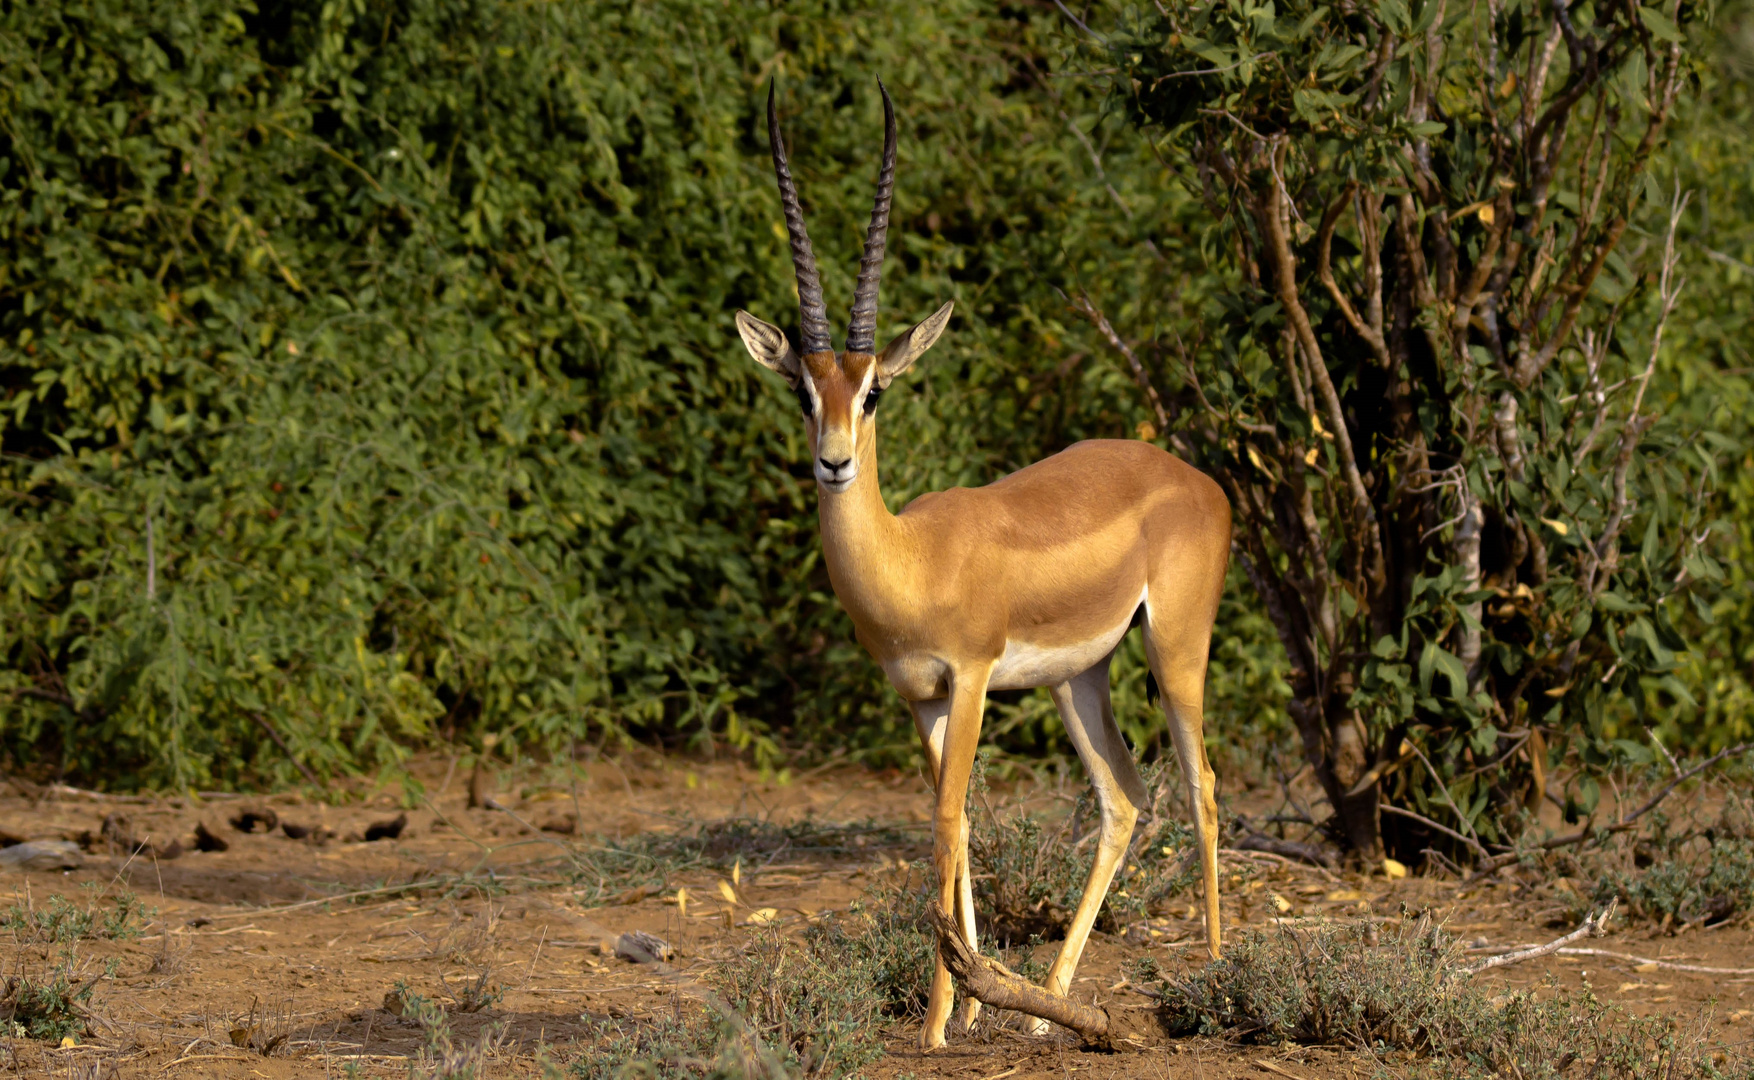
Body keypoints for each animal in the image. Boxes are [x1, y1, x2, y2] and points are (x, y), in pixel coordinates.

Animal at [735, 81, 1232, 1050]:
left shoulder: (967, 680)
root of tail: (1197, 479)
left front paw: (936, 1023)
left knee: (1202, 787)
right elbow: (958, 824)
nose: (833, 462)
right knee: (1123, 798)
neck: (912, 562)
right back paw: (1051, 1008)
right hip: (1080, 677)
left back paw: (1224, 974)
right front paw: (973, 1000)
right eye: (803, 390)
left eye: (874, 391)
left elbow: (944, 821)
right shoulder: (919, 695)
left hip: (1174, 652)